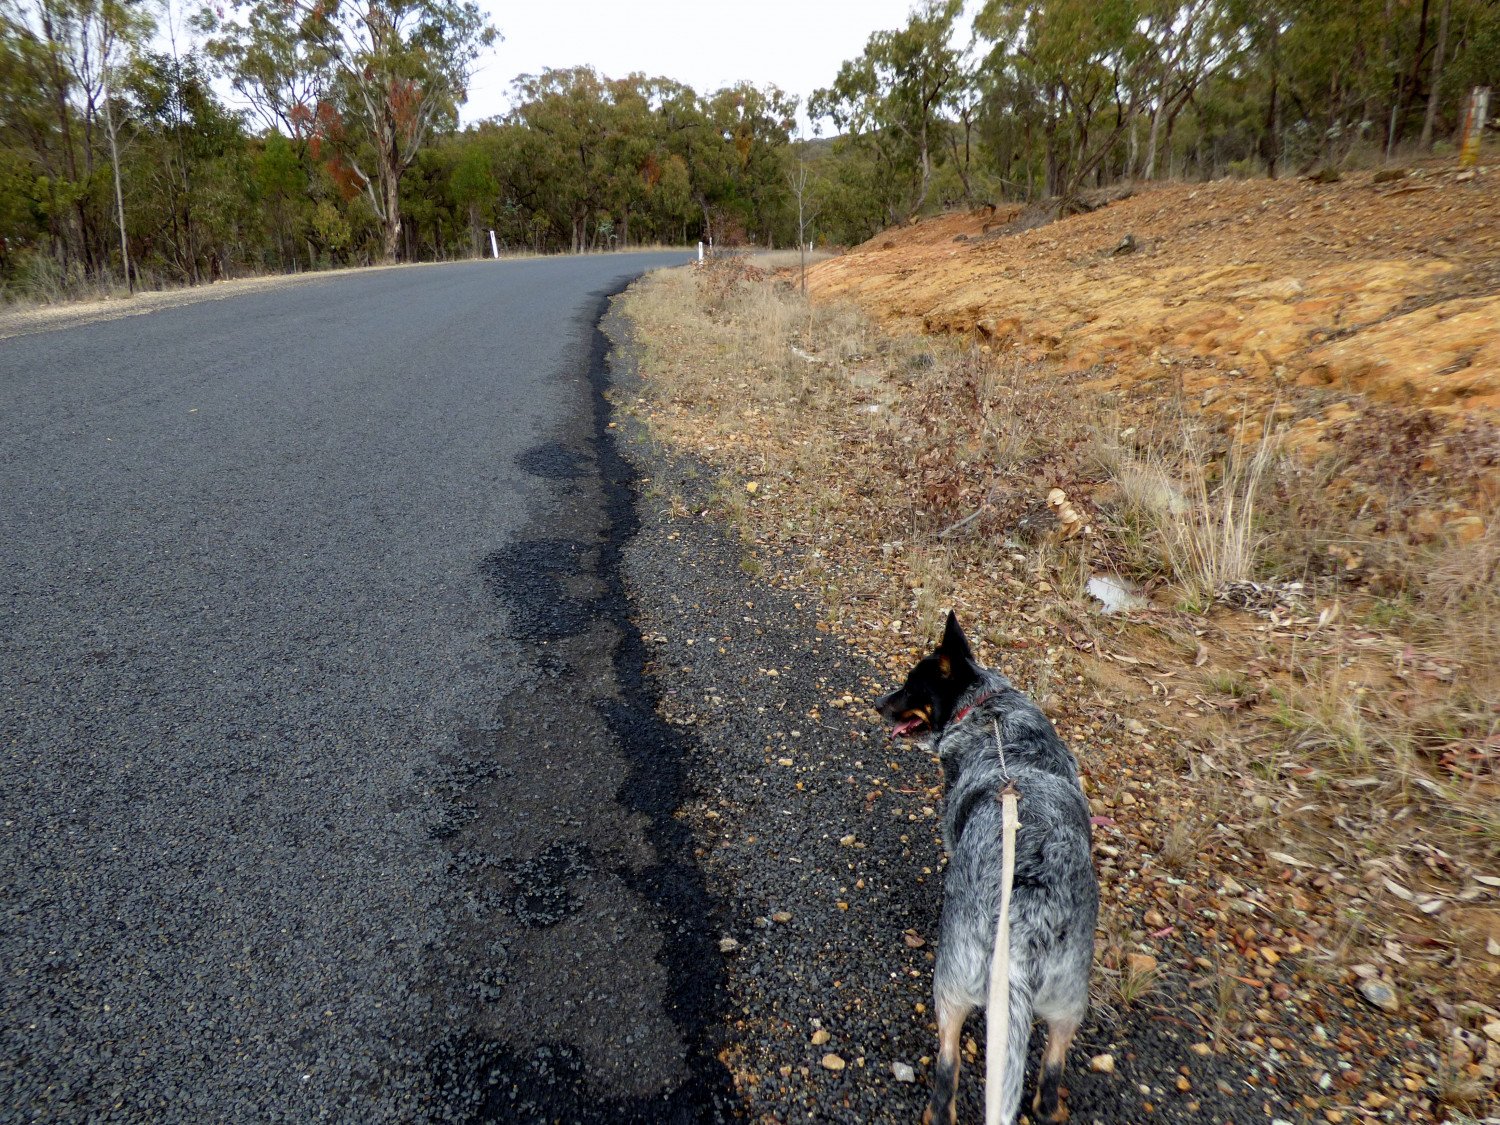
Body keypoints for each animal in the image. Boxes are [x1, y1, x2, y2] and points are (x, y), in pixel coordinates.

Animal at [876, 618, 1098, 1125]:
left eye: (910, 687)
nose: (878, 703)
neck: (989, 712)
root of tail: (1025, 931)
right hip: (1068, 1001)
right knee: (1050, 1072)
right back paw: (1050, 1107)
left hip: (951, 985)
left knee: (947, 1066)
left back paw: (938, 1111)